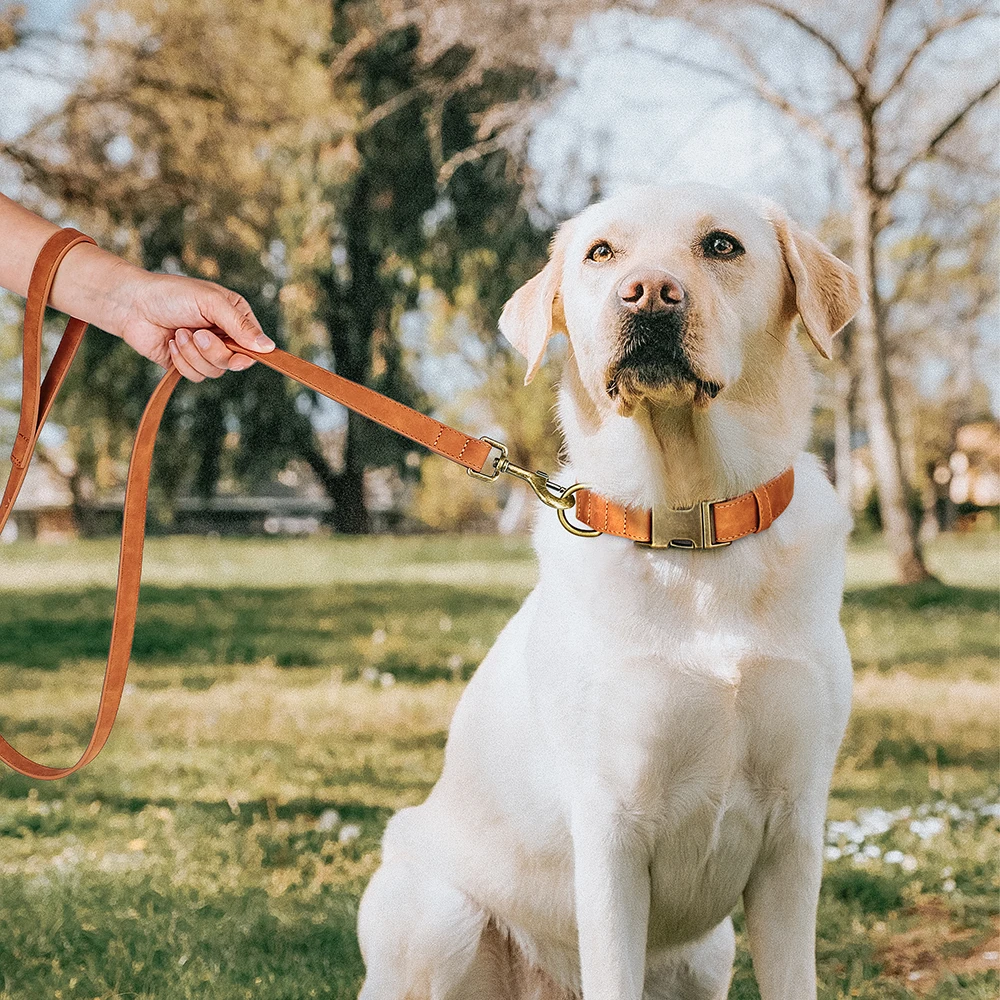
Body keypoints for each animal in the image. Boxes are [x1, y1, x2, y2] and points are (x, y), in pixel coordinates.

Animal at [358, 182, 860, 1000]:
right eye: (601, 253)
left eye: (721, 245)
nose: (648, 293)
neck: (691, 527)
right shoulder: (612, 829)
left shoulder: (794, 832)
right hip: (437, 914)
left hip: (708, 954)